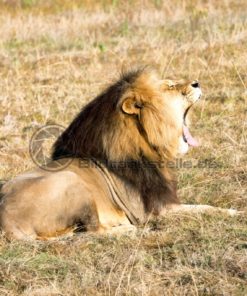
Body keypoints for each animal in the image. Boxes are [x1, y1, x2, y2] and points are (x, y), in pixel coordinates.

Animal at [0, 68, 237, 239]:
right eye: (170, 86)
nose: (197, 82)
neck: (145, 144)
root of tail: (7, 222)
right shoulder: (156, 210)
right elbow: (203, 208)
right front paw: (236, 213)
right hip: (72, 182)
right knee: (95, 231)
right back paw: (130, 230)